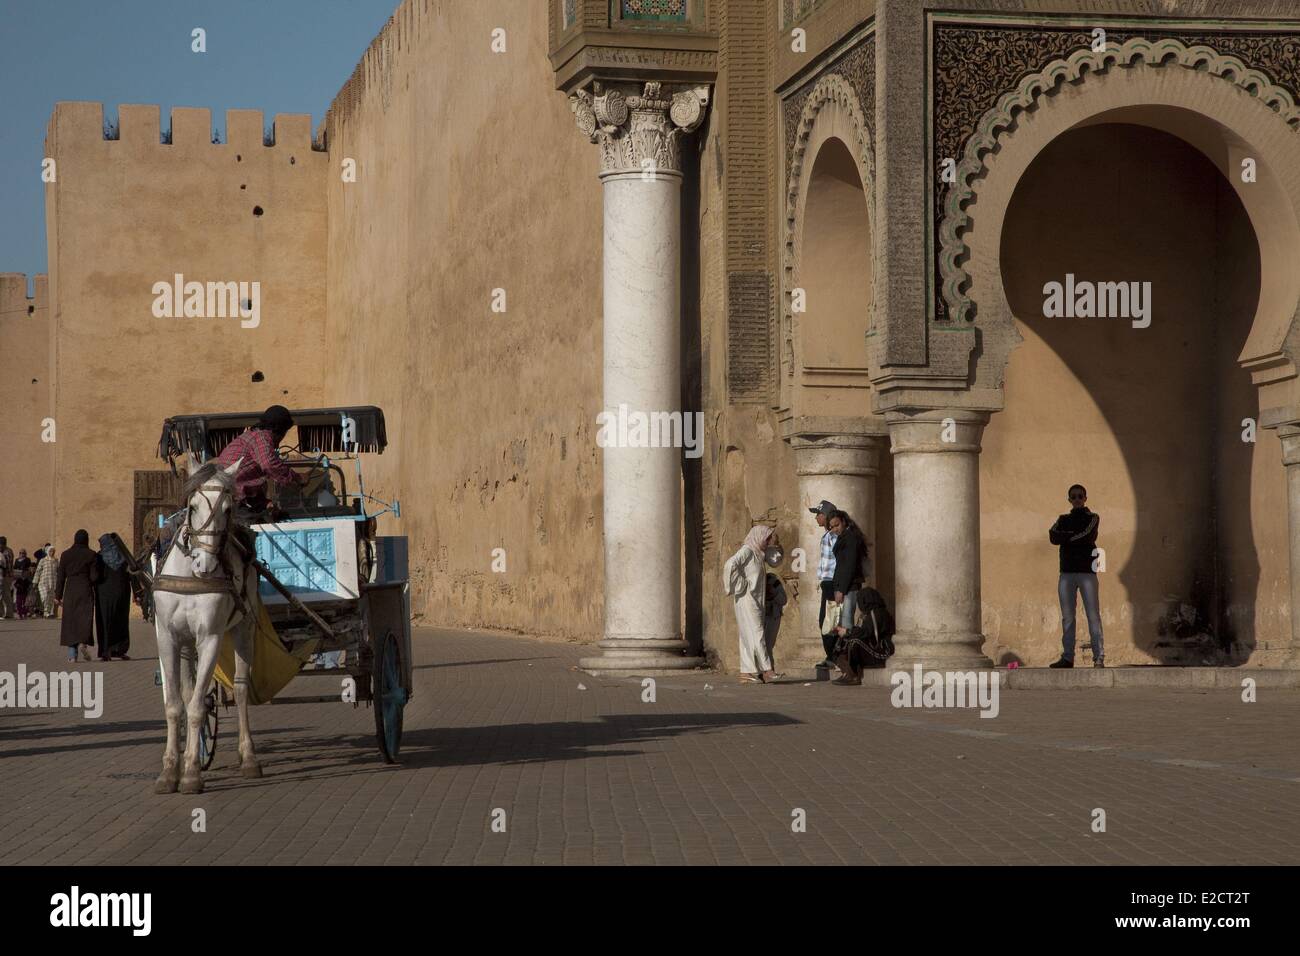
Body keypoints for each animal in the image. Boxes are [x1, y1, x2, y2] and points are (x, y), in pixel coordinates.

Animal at [152, 460, 261, 796]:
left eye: (228, 508)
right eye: (193, 506)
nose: (205, 563)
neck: (191, 576)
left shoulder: (210, 638)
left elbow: (199, 707)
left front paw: (190, 774)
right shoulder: (168, 638)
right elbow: (175, 705)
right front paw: (169, 772)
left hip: (244, 628)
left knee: (241, 688)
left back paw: (248, 757)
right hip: (187, 645)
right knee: (188, 693)